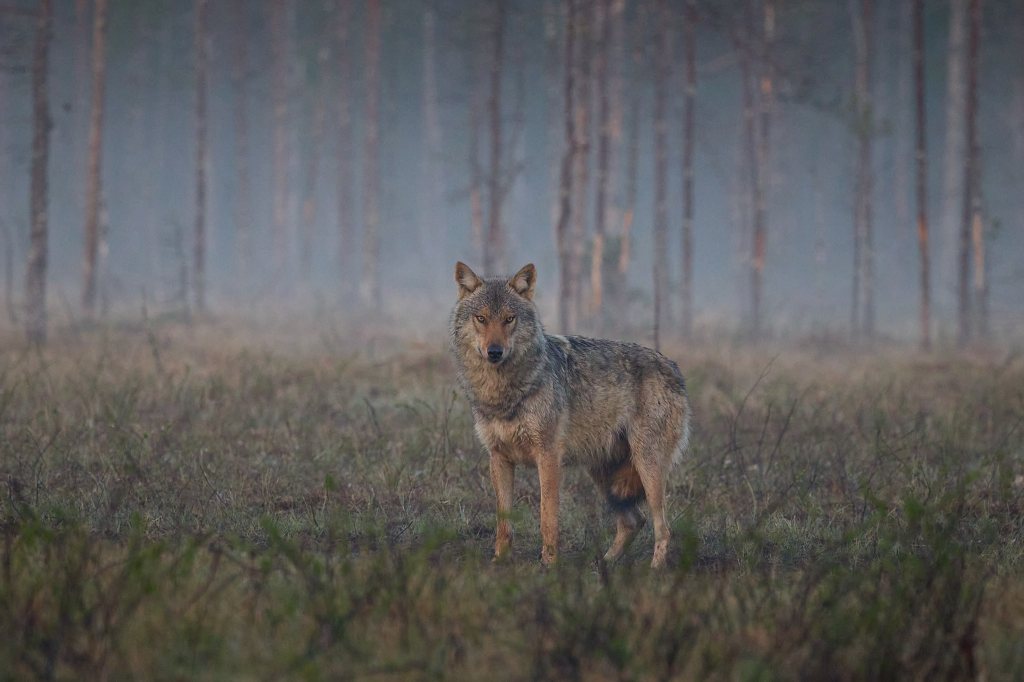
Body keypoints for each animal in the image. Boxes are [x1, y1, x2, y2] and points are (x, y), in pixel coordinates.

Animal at [449, 262, 691, 568]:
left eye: (509, 319)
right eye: (481, 318)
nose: (494, 352)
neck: (503, 392)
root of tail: (674, 366)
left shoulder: (549, 456)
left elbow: (547, 518)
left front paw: (549, 565)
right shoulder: (498, 457)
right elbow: (503, 523)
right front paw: (499, 563)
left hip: (647, 466)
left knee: (663, 527)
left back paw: (654, 570)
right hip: (604, 474)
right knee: (633, 521)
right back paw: (603, 564)